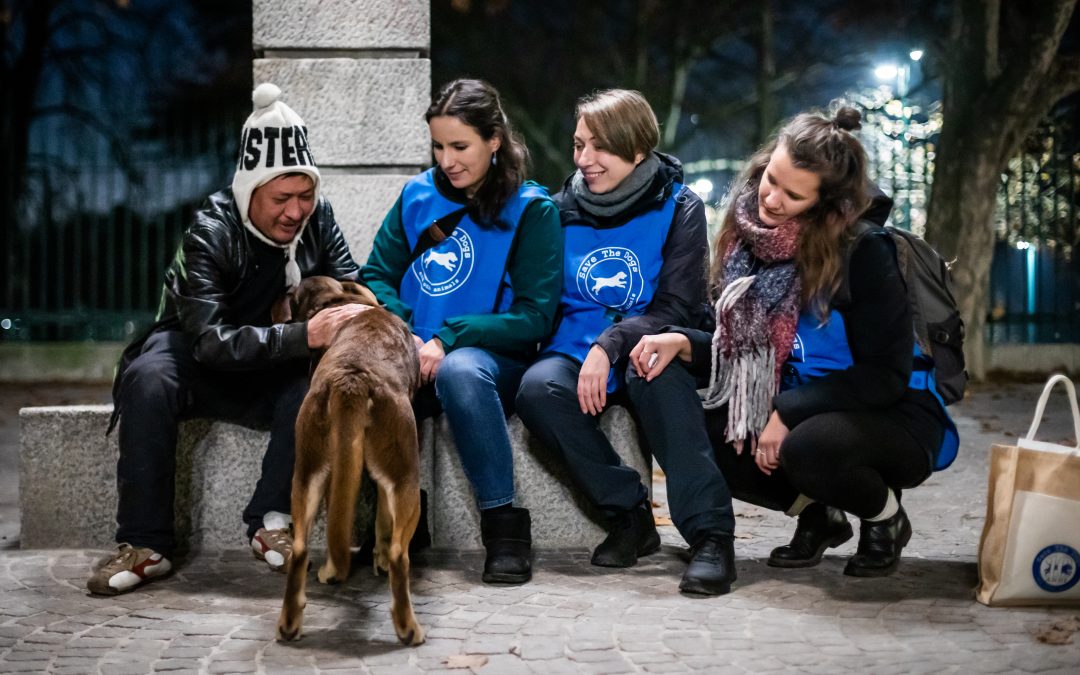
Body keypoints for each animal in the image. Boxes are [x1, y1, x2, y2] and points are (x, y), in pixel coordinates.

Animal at [276, 274, 423, 643]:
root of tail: (353, 377)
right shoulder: (389, 480)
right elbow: (385, 524)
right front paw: (379, 559)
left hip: (307, 473)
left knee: (300, 548)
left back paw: (290, 622)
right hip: (406, 477)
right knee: (400, 555)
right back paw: (408, 628)